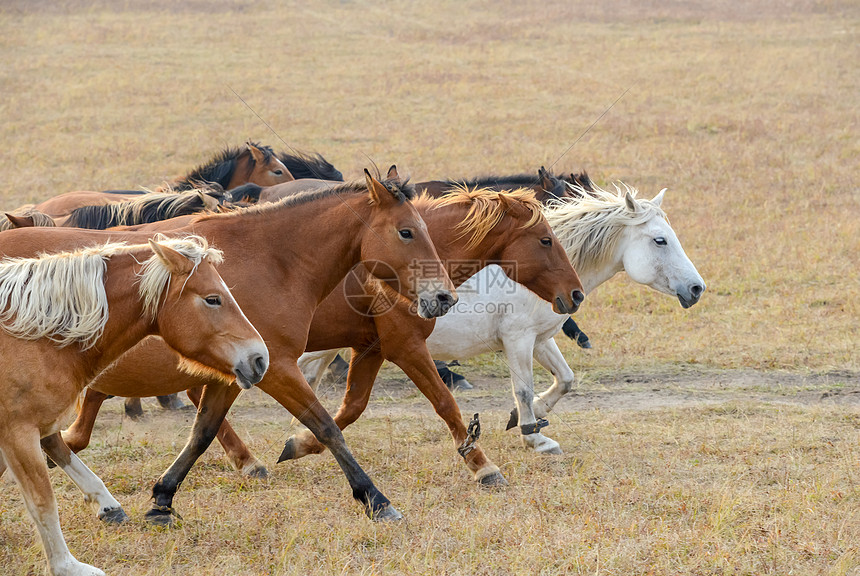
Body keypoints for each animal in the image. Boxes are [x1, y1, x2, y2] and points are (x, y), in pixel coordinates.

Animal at [0, 234, 268, 576]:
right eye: (213, 299)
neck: (33, 336)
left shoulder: (37, 428)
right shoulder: (18, 432)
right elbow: (43, 501)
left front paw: (109, 508)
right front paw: (68, 566)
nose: (260, 359)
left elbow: (70, 460)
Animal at [36, 170, 456, 520]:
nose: (445, 297)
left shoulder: (234, 373)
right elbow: (325, 427)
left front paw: (162, 498)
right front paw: (375, 499)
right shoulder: (277, 369)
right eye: (406, 232)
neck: (275, 262)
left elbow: (202, 434)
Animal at [298, 184, 704, 454]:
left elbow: (565, 380)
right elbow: (522, 387)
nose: (697, 288)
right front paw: (534, 435)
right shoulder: (517, 339)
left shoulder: (541, 340)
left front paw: (529, 417)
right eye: (660, 240)